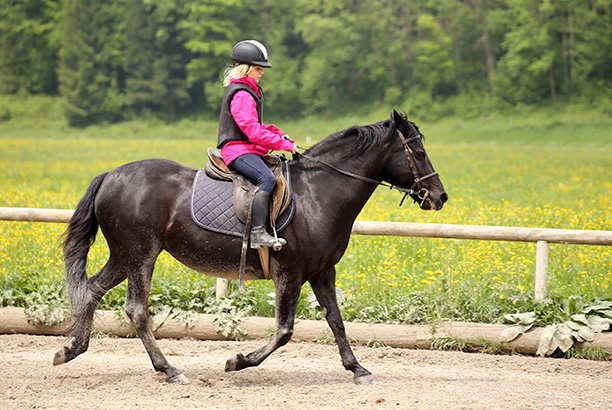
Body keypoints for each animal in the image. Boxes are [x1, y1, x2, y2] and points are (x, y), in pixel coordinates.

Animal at [55, 111, 448, 384]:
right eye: (418, 151)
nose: (440, 196)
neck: (319, 193)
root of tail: (110, 175)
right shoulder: (290, 272)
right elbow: (285, 330)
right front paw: (238, 361)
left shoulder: (323, 271)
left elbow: (335, 320)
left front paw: (357, 368)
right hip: (141, 257)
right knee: (136, 310)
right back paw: (168, 369)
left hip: (124, 257)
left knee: (91, 289)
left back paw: (71, 349)